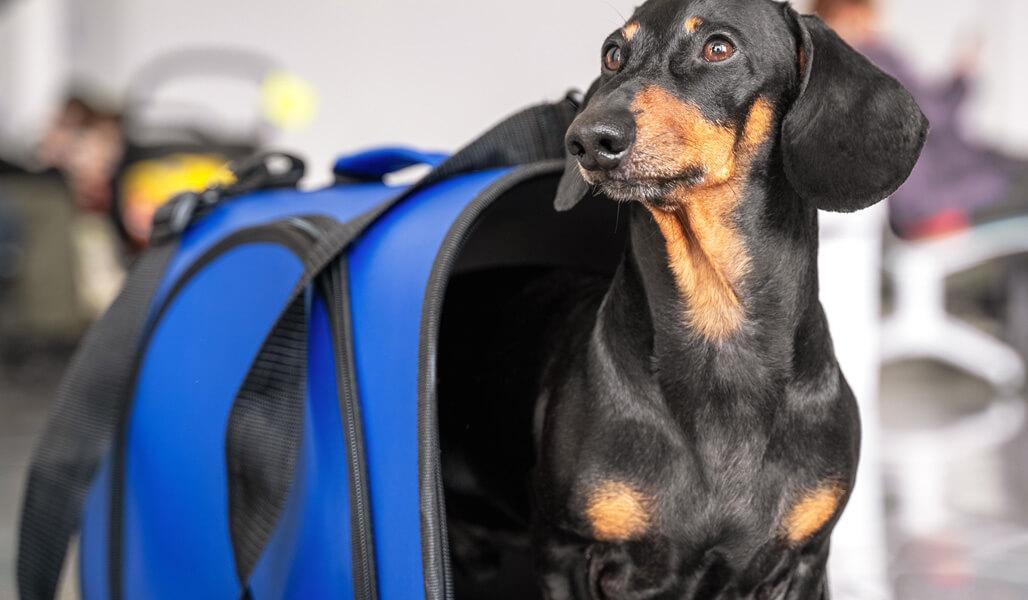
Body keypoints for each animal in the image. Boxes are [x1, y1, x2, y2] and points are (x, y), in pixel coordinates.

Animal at [530, 1, 933, 600]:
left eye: (719, 48)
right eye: (613, 53)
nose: (588, 140)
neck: (719, 327)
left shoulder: (804, 560)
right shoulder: (564, 552)